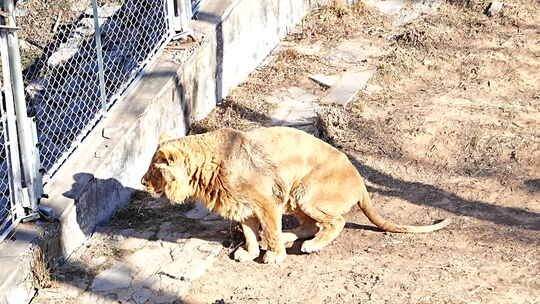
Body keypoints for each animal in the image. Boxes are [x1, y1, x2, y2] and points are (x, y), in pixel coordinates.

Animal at [141, 126, 450, 264]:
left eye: (154, 170)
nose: (142, 182)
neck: (204, 173)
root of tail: (361, 182)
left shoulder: (266, 201)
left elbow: (269, 229)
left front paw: (274, 256)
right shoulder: (243, 206)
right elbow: (250, 232)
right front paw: (250, 252)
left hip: (305, 191)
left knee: (335, 222)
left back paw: (310, 245)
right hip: (294, 198)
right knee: (310, 225)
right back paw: (292, 237)